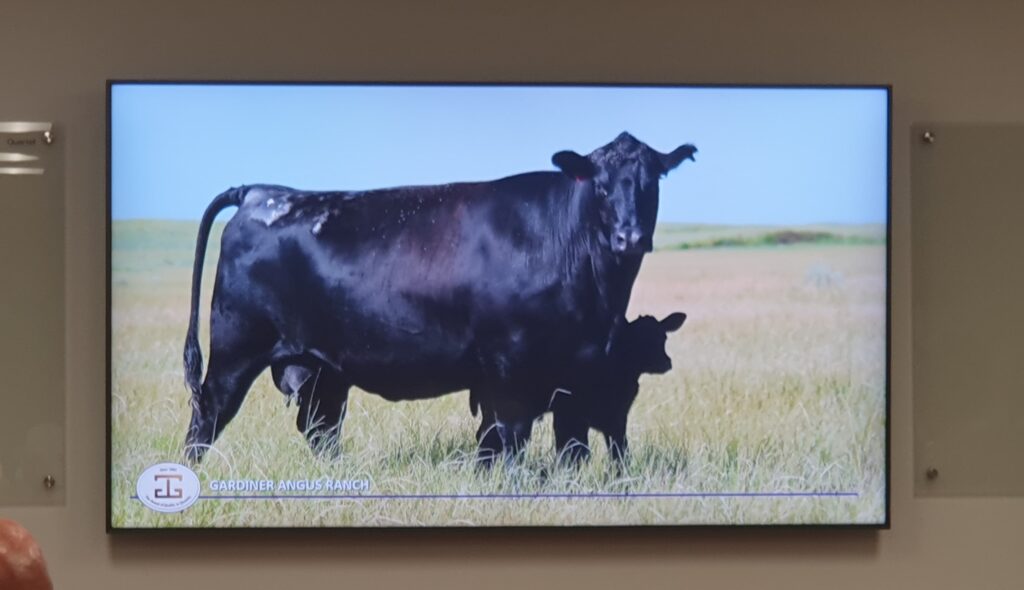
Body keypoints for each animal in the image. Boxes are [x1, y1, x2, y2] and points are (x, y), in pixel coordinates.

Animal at [182, 132, 696, 464]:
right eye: (601, 185)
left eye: (651, 183)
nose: (630, 237)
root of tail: (260, 192)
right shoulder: (510, 369)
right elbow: (509, 438)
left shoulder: (575, 377)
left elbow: (569, 445)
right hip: (235, 350)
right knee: (207, 417)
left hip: (323, 369)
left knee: (320, 428)